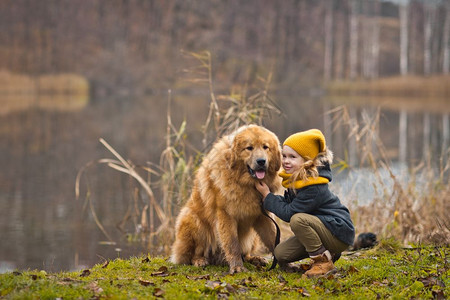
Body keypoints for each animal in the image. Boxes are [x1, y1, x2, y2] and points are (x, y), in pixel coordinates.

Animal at [170, 124, 282, 274]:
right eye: (249, 148)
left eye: (265, 147)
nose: (261, 161)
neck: (245, 184)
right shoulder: (226, 215)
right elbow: (232, 244)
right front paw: (237, 267)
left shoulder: (263, 216)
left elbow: (274, 239)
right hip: (194, 221)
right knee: (191, 254)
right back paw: (199, 260)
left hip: (253, 238)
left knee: (245, 253)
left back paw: (255, 258)